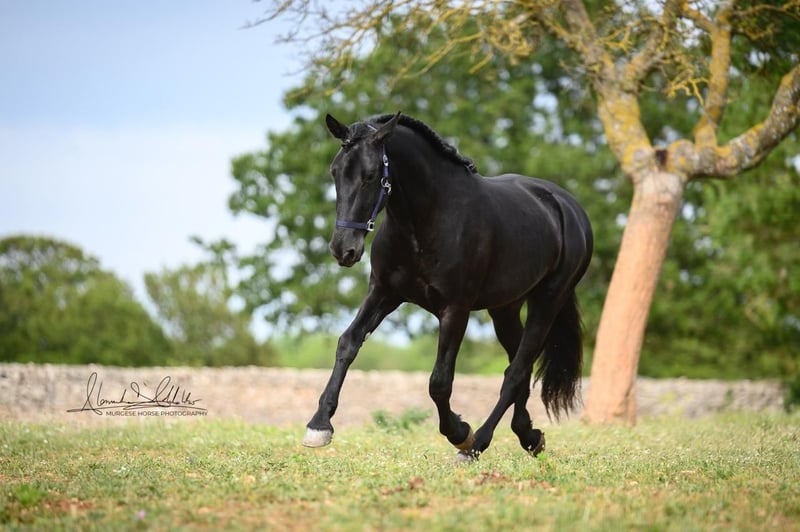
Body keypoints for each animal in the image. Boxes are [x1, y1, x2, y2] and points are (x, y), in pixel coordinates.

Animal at [302, 112, 593, 460]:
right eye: (335, 172)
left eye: (371, 175)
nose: (343, 249)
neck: (429, 219)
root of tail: (569, 208)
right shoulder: (384, 293)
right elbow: (348, 344)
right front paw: (319, 425)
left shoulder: (455, 310)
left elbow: (439, 382)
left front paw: (459, 432)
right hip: (505, 309)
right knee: (518, 365)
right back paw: (529, 435)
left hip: (548, 300)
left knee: (516, 371)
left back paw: (477, 444)